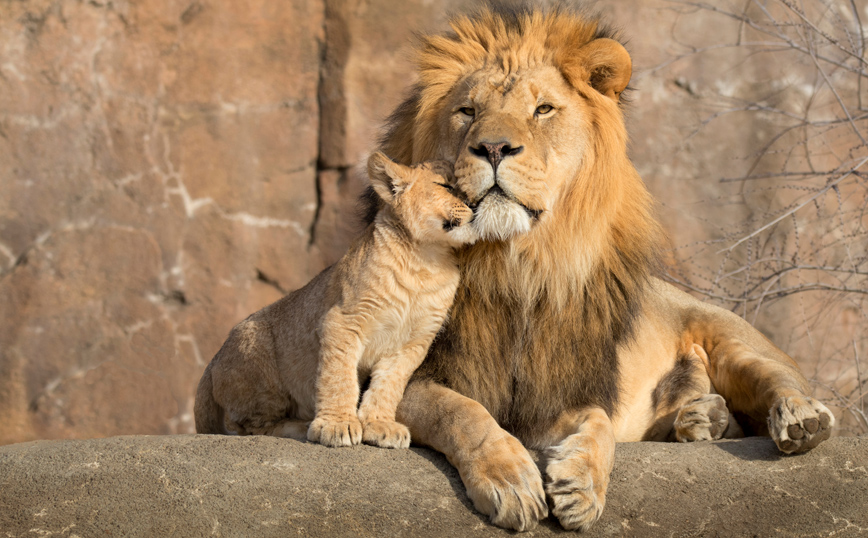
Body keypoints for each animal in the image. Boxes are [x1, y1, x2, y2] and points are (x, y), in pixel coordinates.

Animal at [382, 5, 836, 532]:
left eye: (543, 110)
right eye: (468, 112)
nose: (493, 148)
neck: (516, 265)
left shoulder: (560, 390)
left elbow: (597, 422)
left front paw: (581, 486)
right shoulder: (400, 379)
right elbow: (463, 412)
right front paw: (510, 480)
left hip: (732, 340)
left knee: (781, 381)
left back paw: (798, 419)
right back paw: (700, 419)